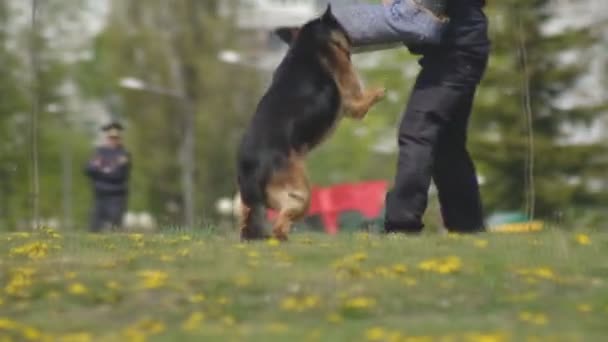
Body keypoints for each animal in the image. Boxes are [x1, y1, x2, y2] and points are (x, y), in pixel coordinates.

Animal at [235, 4, 382, 240]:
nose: (355, 37)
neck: (308, 40)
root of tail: (253, 168)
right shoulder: (354, 102)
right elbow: (367, 98)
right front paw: (380, 92)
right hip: (303, 193)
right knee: (281, 222)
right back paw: (285, 237)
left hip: (247, 204)